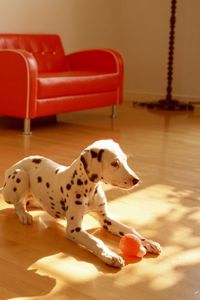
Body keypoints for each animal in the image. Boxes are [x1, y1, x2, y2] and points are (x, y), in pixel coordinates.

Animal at [0, 139, 161, 268]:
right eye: (114, 163)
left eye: (125, 160)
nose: (136, 180)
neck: (90, 190)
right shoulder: (74, 229)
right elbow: (96, 241)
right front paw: (110, 256)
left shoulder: (106, 219)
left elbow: (129, 229)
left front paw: (147, 241)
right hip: (19, 176)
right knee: (18, 203)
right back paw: (24, 215)